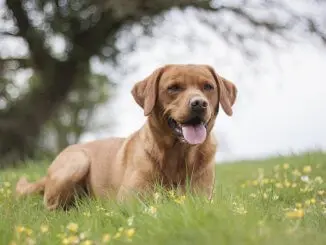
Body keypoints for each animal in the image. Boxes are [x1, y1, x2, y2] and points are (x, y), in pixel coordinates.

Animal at [15, 64, 237, 210]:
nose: (199, 103)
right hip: (77, 162)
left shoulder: (202, 197)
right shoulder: (131, 200)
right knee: (50, 207)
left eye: (208, 87)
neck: (177, 155)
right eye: (173, 88)